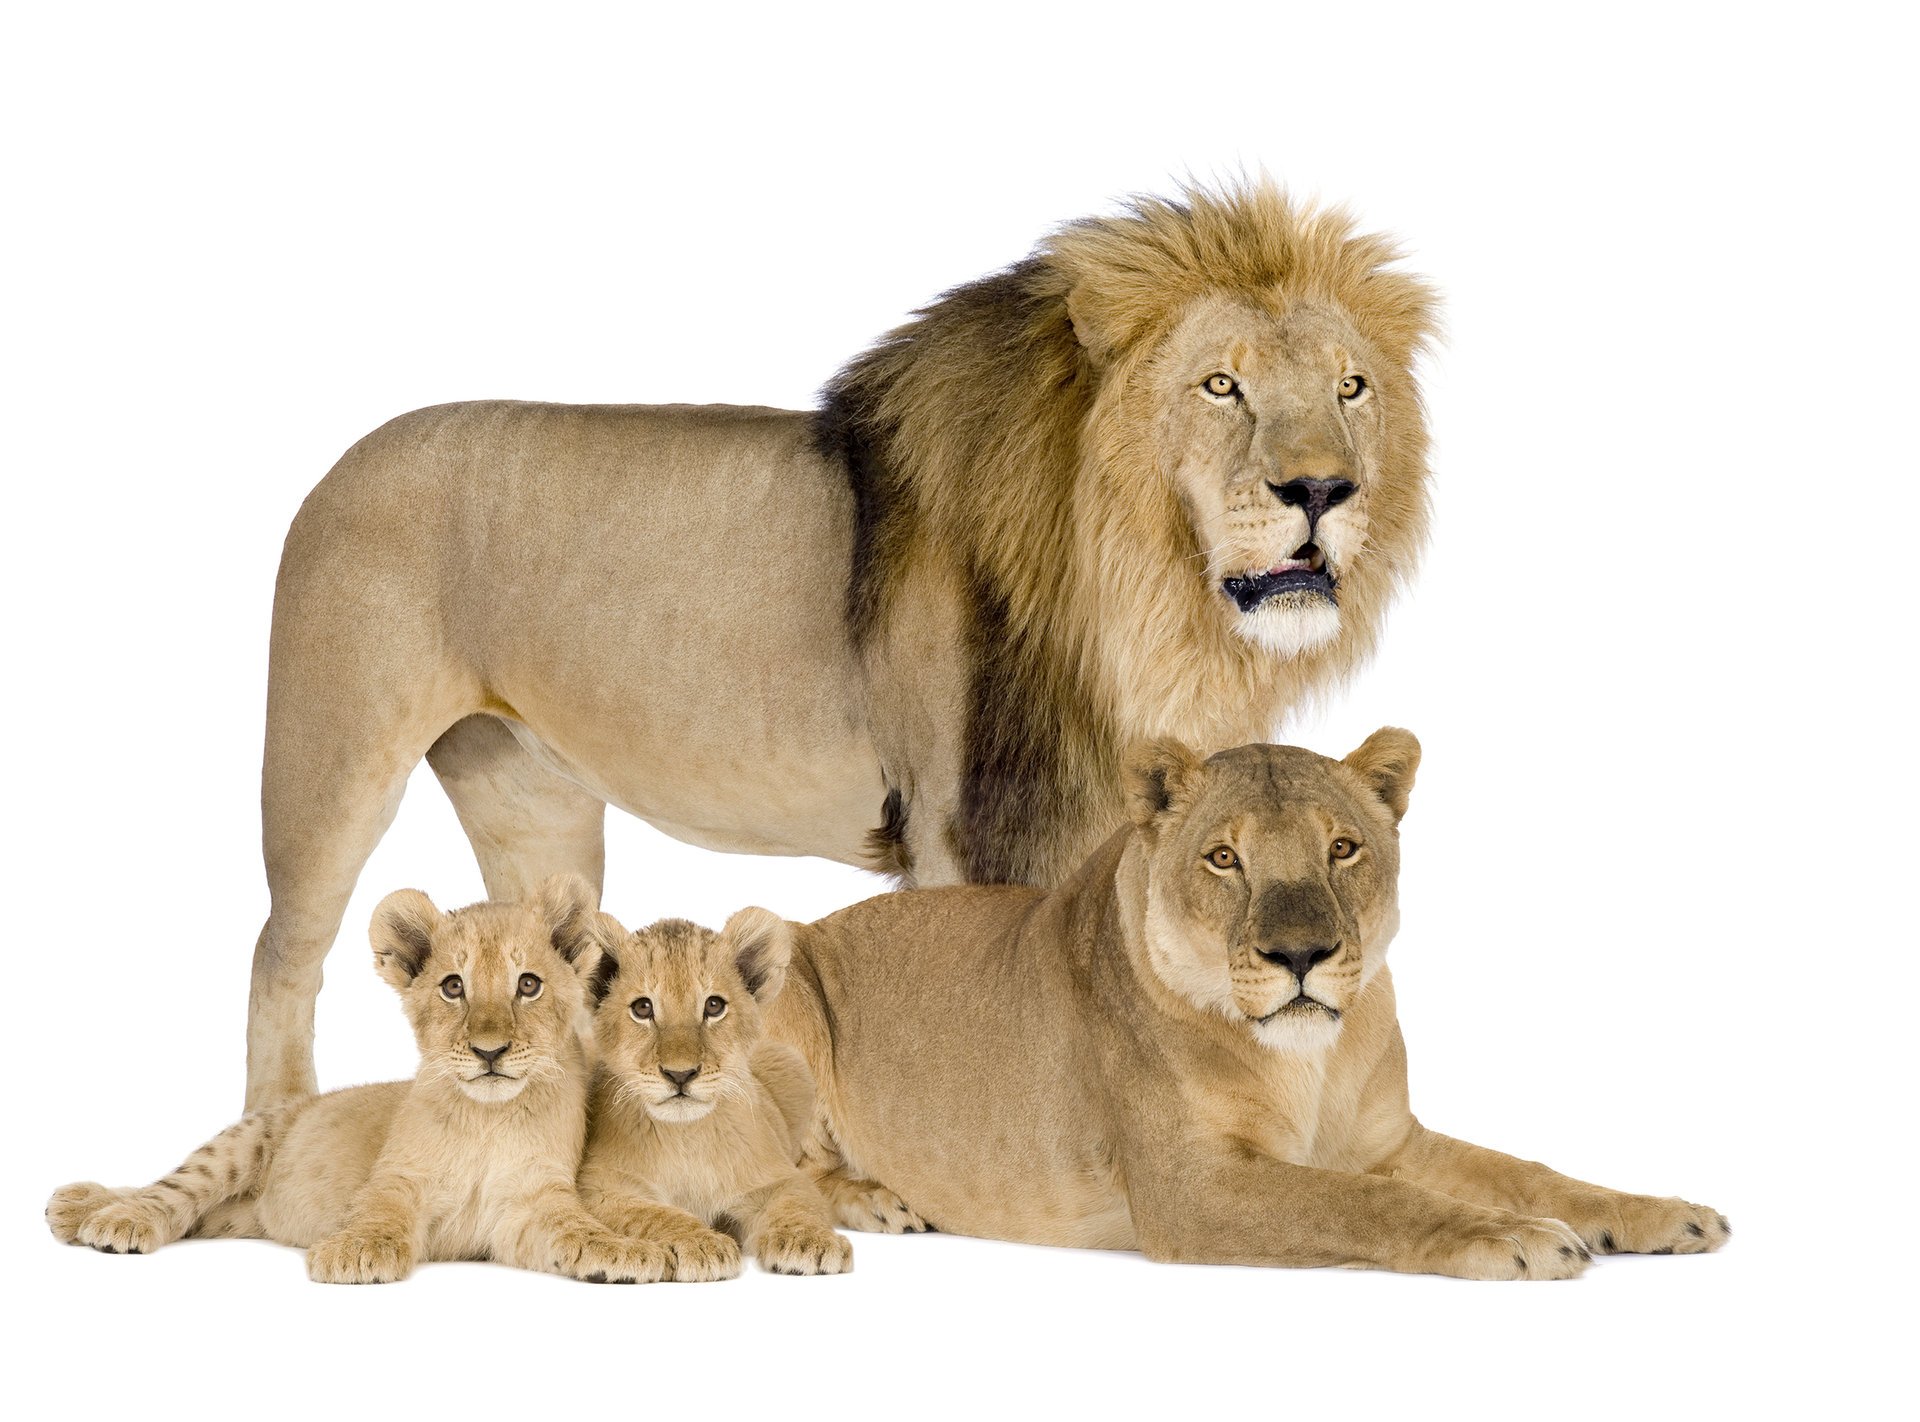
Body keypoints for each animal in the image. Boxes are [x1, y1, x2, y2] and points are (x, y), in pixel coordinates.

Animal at [49, 875, 677, 1285]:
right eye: (453, 987)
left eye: (528, 985)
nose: (489, 1051)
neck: (486, 1117)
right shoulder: (396, 1176)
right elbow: (380, 1212)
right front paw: (355, 1252)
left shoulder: (530, 1203)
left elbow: (577, 1230)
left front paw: (625, 1252)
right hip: (241, 1143)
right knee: (172, 1188)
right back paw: (105, 1213)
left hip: (234, 1214)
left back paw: (84, 1208)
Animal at [242, 182, 1438, 1108]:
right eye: (1220, 385)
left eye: (1350, 386)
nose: (1324, 490)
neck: (1145, 598)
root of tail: (340, 460)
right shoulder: (962, 825)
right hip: (330, 764)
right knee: (280, 957)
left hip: (531, 799)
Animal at [576, 910, 853, 1277]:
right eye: (643, 1008)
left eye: (714, 1005)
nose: (680, 1074)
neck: (687, 1134)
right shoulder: (598, 1187)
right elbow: (654, 1213)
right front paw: (702, 1243)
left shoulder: (781, 1177)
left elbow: (796, 1205)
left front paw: (811, 1241)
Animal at [764, 732, 1731, 1279]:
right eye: (1225, 858)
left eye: (1342, 848)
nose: (1300, 956)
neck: (1311, 1060)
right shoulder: (1190, 1189)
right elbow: (1361, 1206)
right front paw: (1519, 1238)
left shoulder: (1390, 1143)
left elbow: (1529, 1169)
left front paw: (1658, 1214)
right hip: (782, 967)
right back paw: (879, 1201)